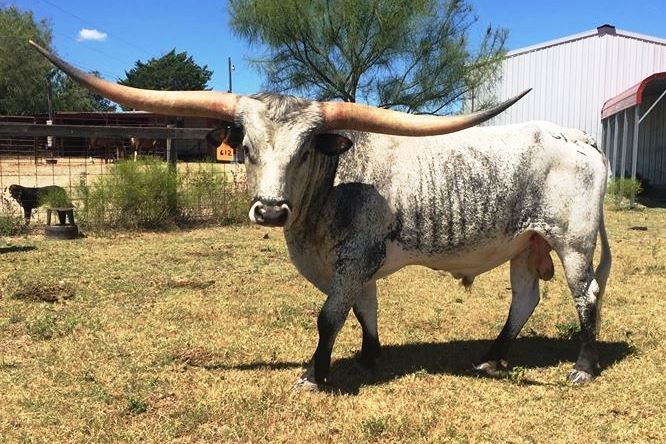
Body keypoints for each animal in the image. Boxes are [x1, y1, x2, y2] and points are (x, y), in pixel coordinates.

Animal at [31, 40, 611, 390]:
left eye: (307, 148)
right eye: (245, 148)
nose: (270, 209)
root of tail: (578, 136)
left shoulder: (355, 258)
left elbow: (330, 315)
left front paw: (315, 373)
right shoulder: (359, 266)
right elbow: (365, 312)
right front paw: (372, 358)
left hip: (573, 241)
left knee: (586, 296)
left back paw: (582, 368)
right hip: (527, 242)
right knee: (526, 298)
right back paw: (493, 356)